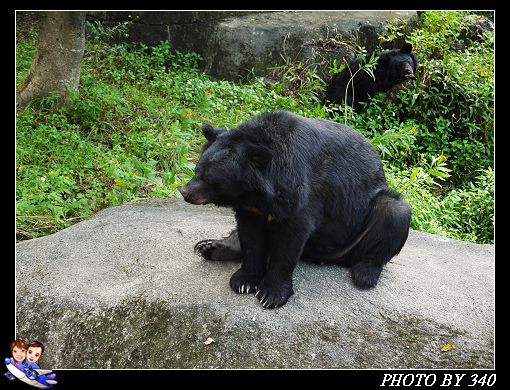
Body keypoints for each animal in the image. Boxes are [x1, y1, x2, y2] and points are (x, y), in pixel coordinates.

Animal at [178, 111, 410, 310]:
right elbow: (251, 236)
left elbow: (290, 238)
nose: (184, 191)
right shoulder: (251, 208)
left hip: (367, 216)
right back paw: (211, 247)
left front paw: (270, 294)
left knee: (394, 214)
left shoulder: (302, 189)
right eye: (197, 169)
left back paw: (365, 274)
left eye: (209, 178)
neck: (254, 193)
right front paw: (243, 281)